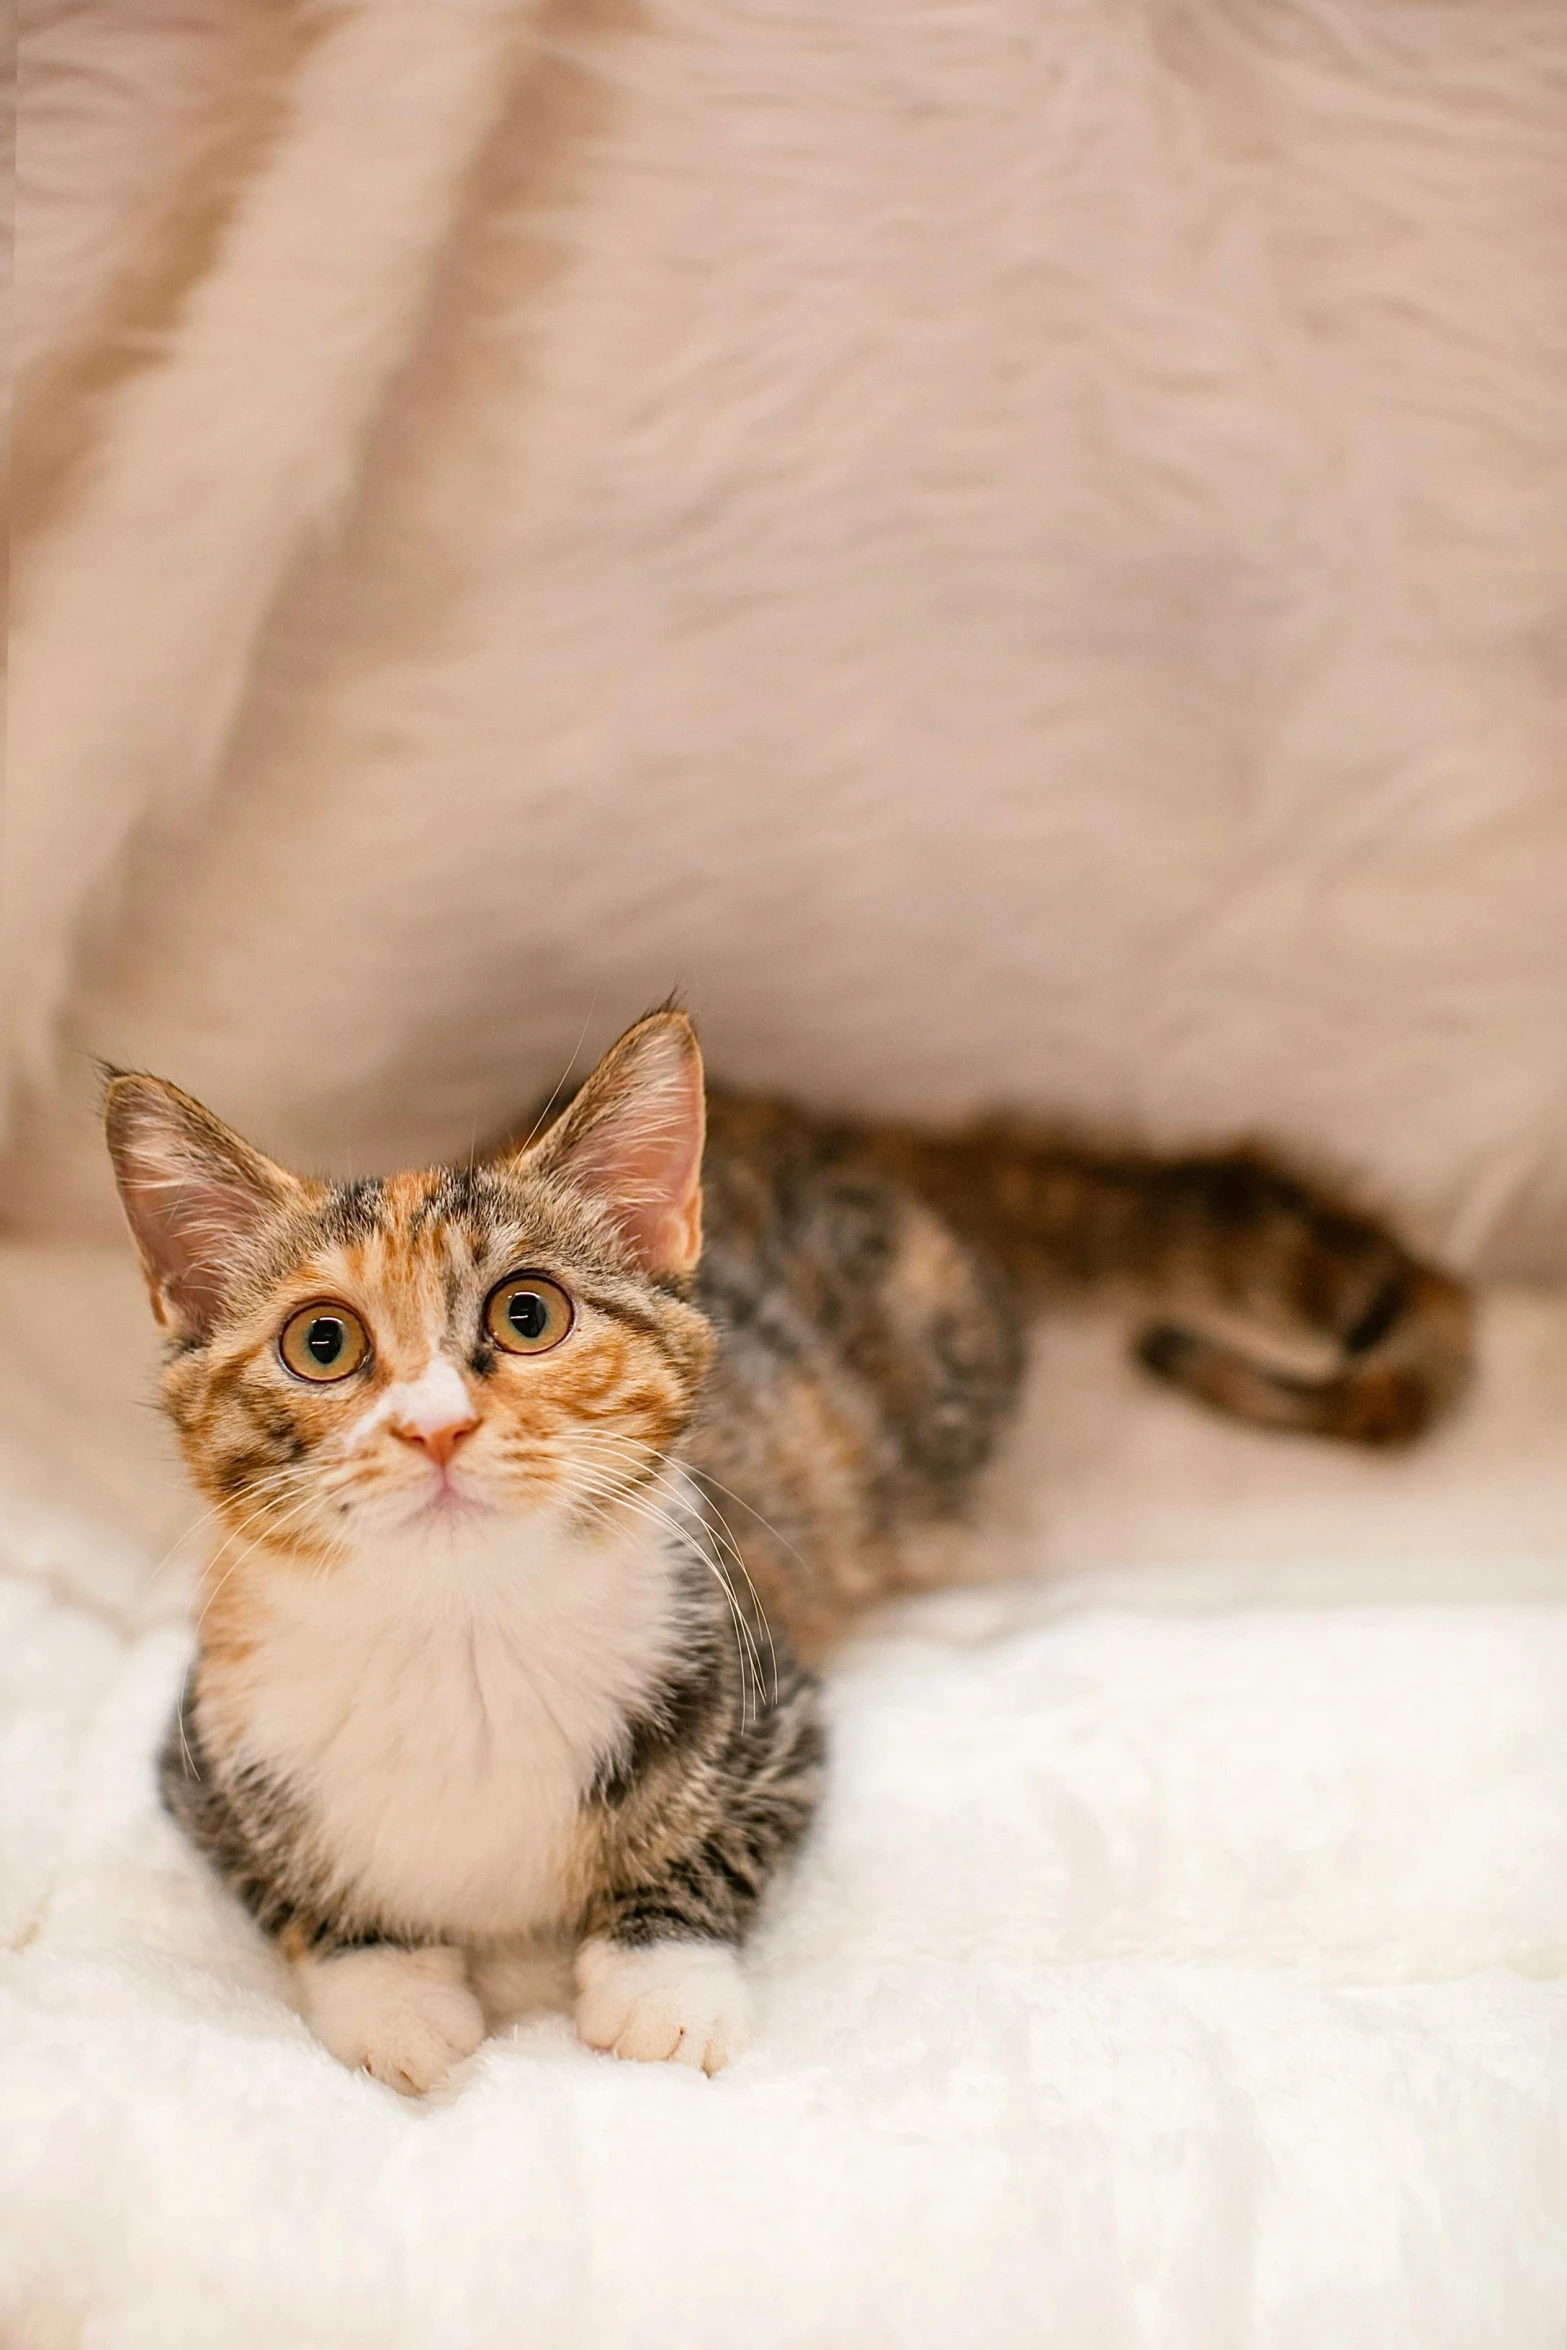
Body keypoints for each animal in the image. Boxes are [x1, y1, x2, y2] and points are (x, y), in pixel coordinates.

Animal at [107, 1010, 1475, 2096]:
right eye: (322, 1344)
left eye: (529, 1313)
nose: (433, 1423)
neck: (463, 1636)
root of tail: (857, 1136)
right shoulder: (202, 1752)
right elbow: (289, 1887)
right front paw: (394, 1996)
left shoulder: (770, 1705)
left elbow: (717, 1847)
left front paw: (660, 1988)